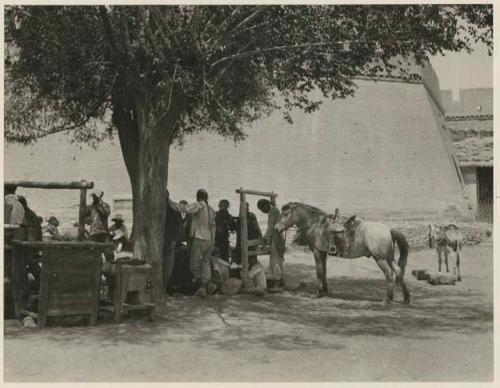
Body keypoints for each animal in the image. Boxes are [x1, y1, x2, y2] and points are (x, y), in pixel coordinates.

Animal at [274, 203, 410, 304]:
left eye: (286, 214)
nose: (276, 228)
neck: (315, 224)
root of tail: (389, 229)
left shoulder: (317, 252)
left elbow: (319, 271)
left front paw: (318, 292)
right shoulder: (323, 252)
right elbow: (324, 271)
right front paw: (324, 290)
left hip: (380, 258)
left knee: (389, 273)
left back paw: (388, 299)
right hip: (389, 258)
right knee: (398, 271)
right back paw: (406, 298)